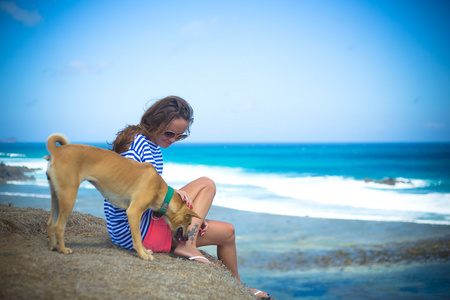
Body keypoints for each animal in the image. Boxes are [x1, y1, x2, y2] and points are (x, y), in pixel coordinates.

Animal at [45, 134, 199, 260]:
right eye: (189, 223)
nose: (186, 239)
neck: (161, 190)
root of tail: (57, 150)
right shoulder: (133, 213)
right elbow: (137, 238)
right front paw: (143, 254)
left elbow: (138, 238)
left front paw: (145, 251)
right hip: (68, 197)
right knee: (59, 225)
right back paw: (63, 249)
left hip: (57, 196)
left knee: (51, 223)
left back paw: (53, 246)